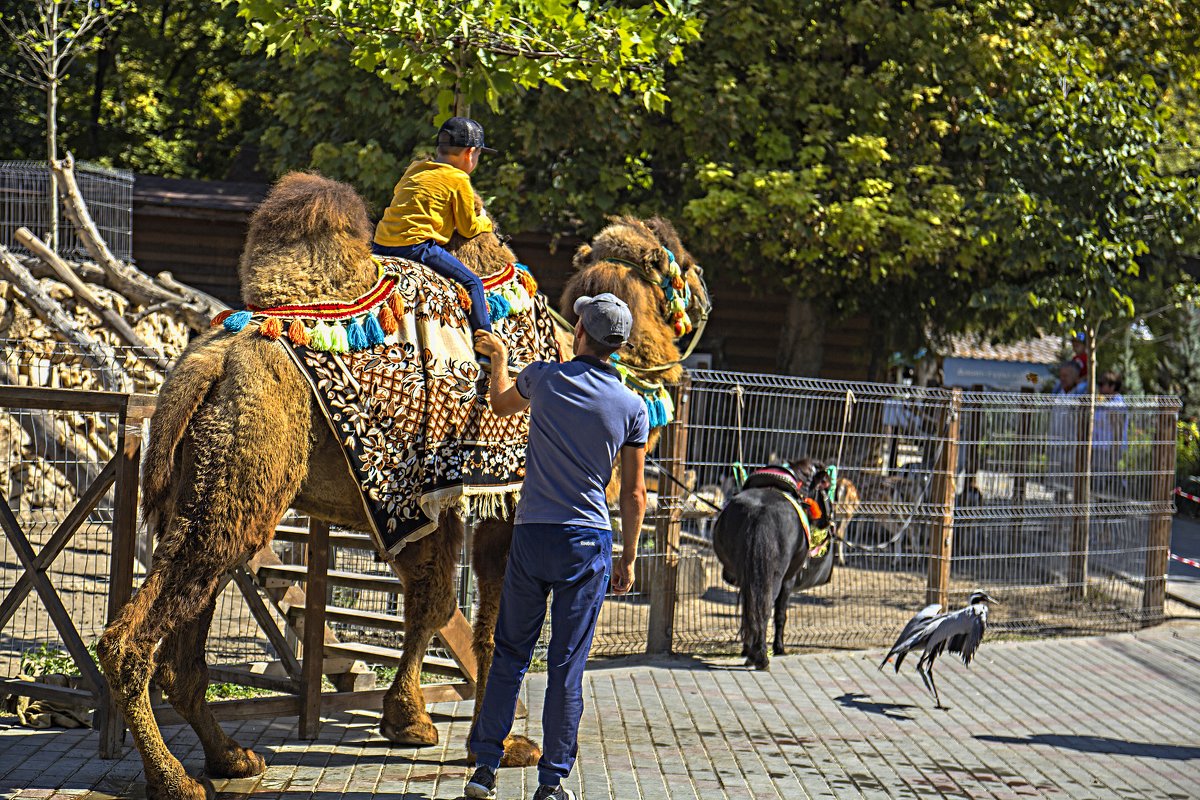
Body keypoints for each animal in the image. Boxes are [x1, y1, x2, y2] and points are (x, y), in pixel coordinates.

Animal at [98, 175, 705, 800]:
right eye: (681, 266)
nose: (704, 299)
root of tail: (208, 361)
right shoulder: (509, 503)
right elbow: (492, 629)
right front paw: (500, 745)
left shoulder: (433, 505)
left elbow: (431, 603)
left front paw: (407, 720)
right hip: (241, 484)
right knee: (131, 641)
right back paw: (174, 779)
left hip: (207, 495)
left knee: (186, 638)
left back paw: (231, 757)